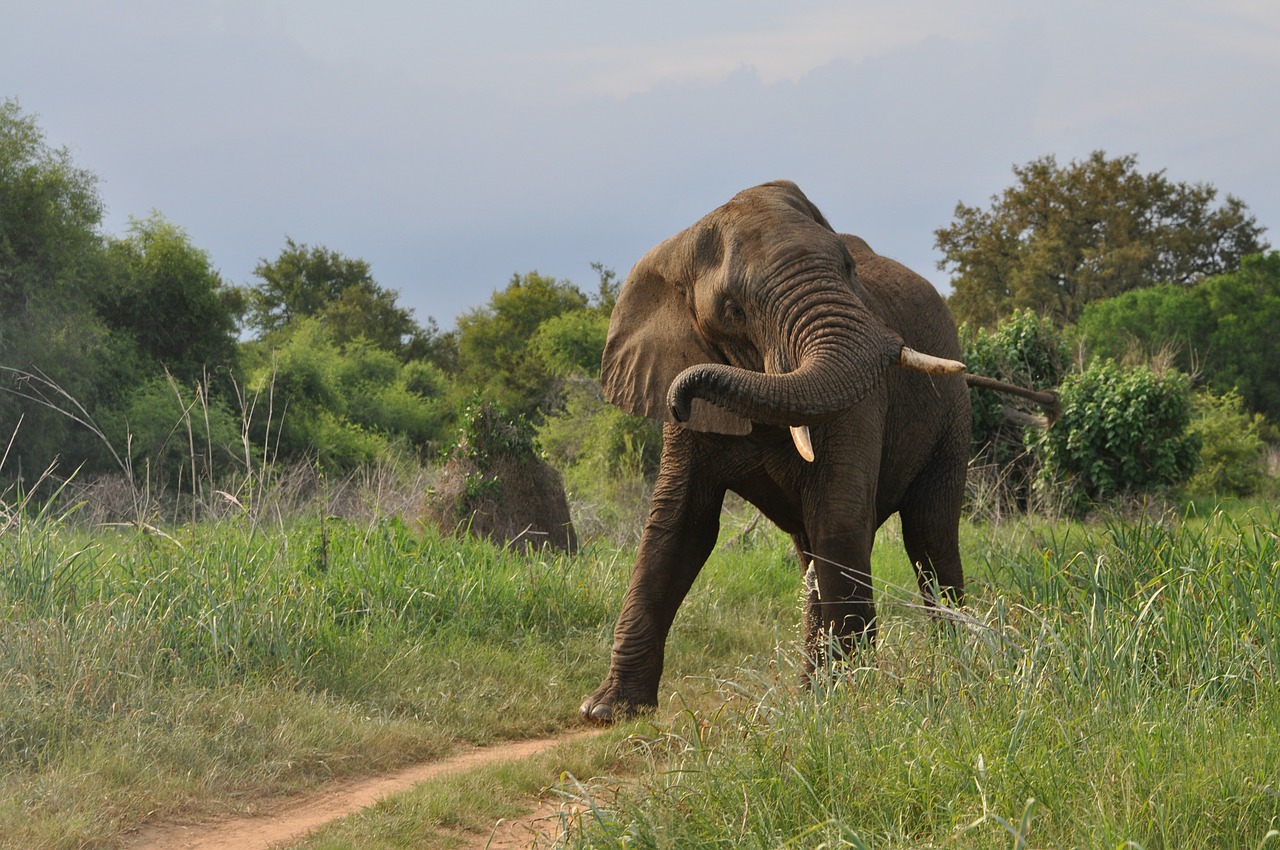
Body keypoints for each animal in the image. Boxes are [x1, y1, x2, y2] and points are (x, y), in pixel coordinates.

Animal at [586, 179, 972, 721]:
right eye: (733, 310)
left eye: (848, 267)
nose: (681, 396)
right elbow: (678, 526)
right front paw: (608, 711)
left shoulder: (863, 401)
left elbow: (840, 517)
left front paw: (848, 703)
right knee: (814, 550)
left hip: (953, 418)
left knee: (928, 534)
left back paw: (954, 661)